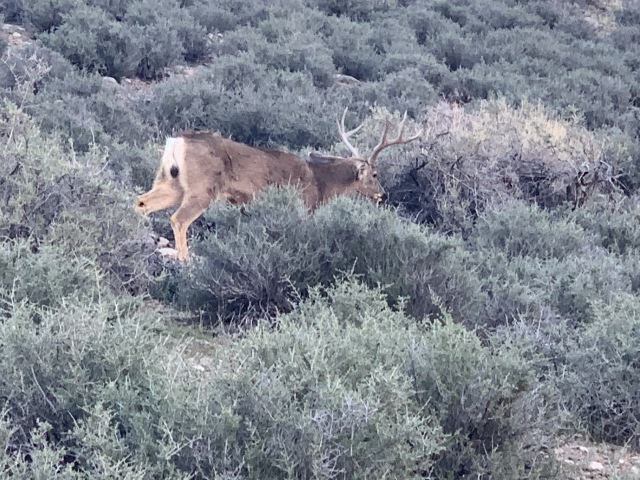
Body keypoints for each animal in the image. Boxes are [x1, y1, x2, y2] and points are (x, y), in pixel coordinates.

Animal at [134, 108, 423, 262]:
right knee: (178, 219)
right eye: (374, 174)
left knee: (141, 203)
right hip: (202, 187)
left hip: (170, 181)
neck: (320, 182)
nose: (382, 195)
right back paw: (185, 260)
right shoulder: (305, 207)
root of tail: (177, 140)